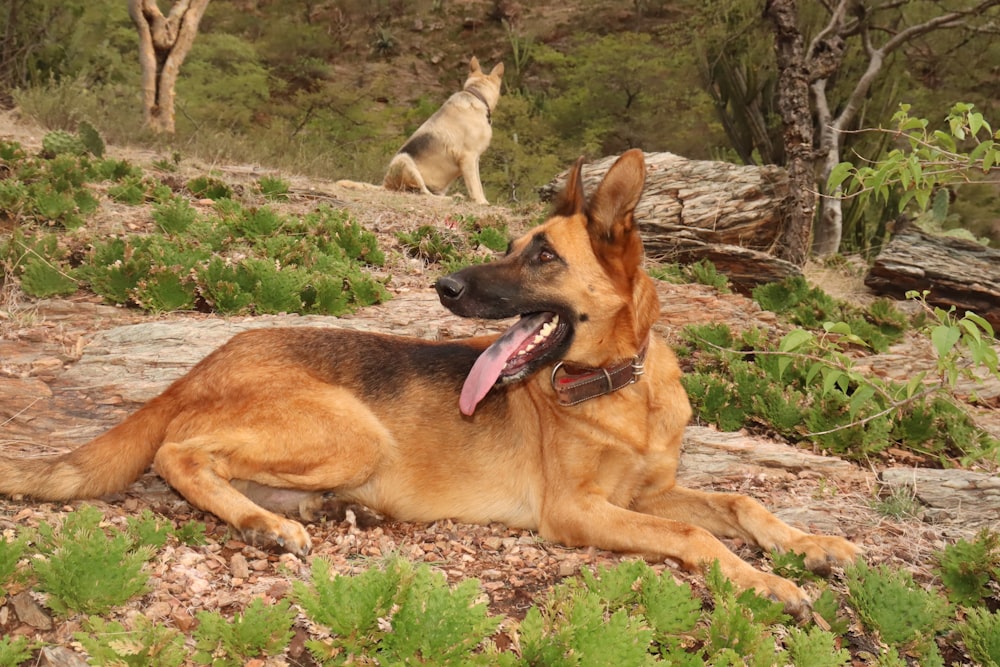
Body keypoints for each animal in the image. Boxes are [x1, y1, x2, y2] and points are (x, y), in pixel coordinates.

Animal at [0, 151, 860, 616]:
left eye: (542, 254)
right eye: (514, 245)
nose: (443, 287)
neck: (620, 388)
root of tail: (203, 364)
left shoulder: (649, 492)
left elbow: (741, 503)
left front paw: (811, 546)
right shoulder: (579, 511)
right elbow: (695, 536)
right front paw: (765, 581)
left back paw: (307, 510)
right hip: (353, 431)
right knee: (178, 453)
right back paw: (265, 521)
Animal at [380, 56, 504, 205]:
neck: (476, 94)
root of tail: (385, 184)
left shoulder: (475, 159)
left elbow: (478, 184)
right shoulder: (468, 158)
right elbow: (475, 185)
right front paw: (481, 202)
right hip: (404, 160)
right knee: (425, 193)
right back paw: (454, 197)